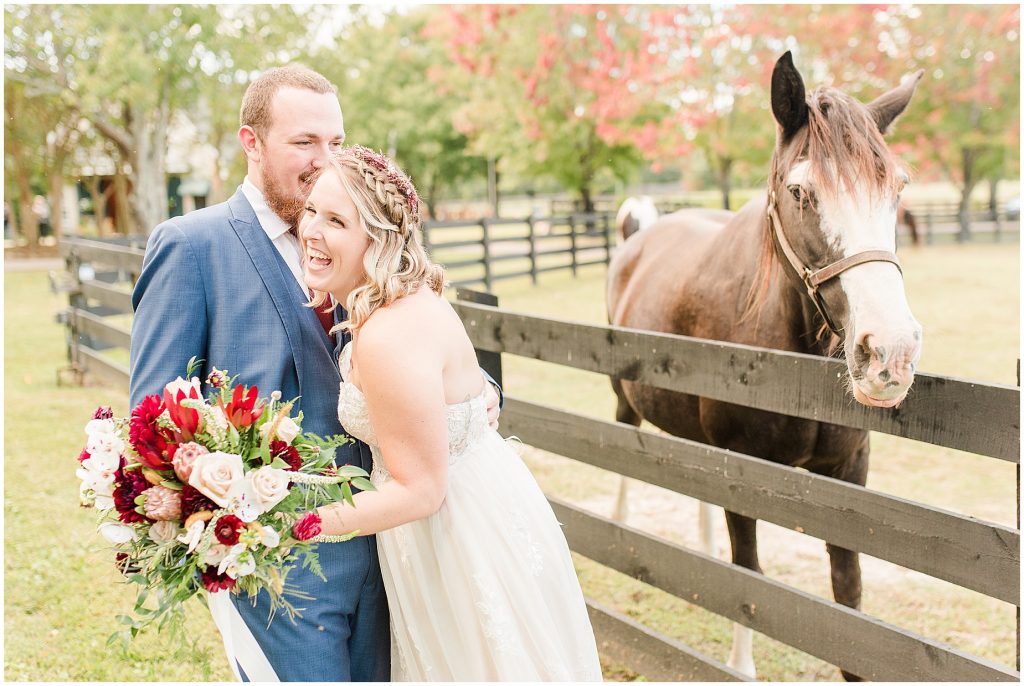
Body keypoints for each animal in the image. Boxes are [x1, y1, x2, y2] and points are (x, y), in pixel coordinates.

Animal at [602, 51, 925, 679]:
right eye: (800, 191)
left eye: (896, 188)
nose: (889, 352)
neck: (790, 370)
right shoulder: (744, 470)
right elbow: (748, 579)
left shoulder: (850, 472)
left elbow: (848, 590)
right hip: (625, 397)